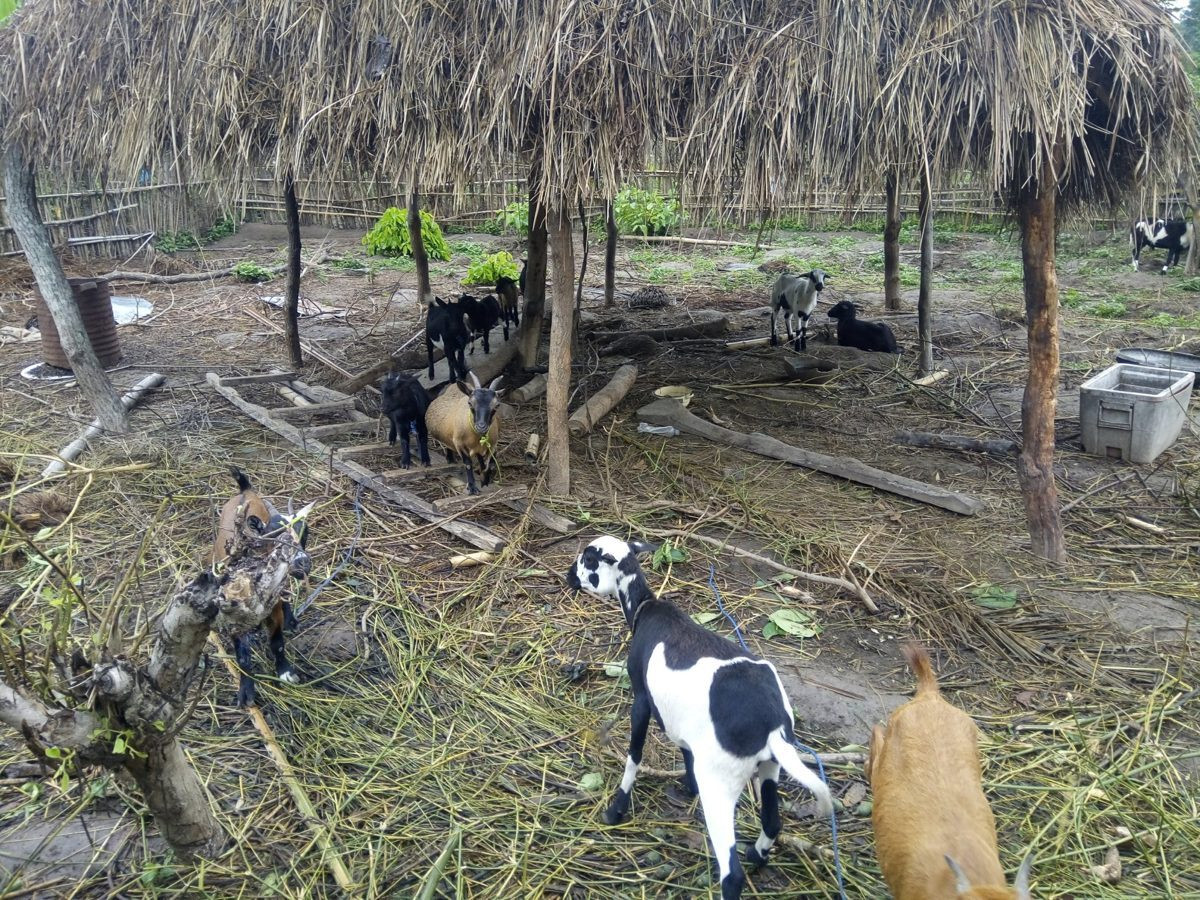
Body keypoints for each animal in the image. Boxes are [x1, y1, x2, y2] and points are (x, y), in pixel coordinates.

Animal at [210, 467, 313, 707]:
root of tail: (245, 490)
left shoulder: (273, 610)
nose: (302, 564)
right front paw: (246, 691)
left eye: (305, 532)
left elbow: (277, 642)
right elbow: (242, 656)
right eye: (273, 535)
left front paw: (285, 672)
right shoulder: (232, 619)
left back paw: (291, 619)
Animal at [567, 536, 833, 900]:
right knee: (772, 823)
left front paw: (616, 809)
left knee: (731, 873)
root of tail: (772, 723)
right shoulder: (685, 723)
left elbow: (634, 755)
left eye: (589, 559)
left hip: (721, 783)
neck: (645, 608)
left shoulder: (641, 699)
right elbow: (684, 749)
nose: (569, 576)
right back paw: (757, 855)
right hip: (770, 766)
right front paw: (688, 787)